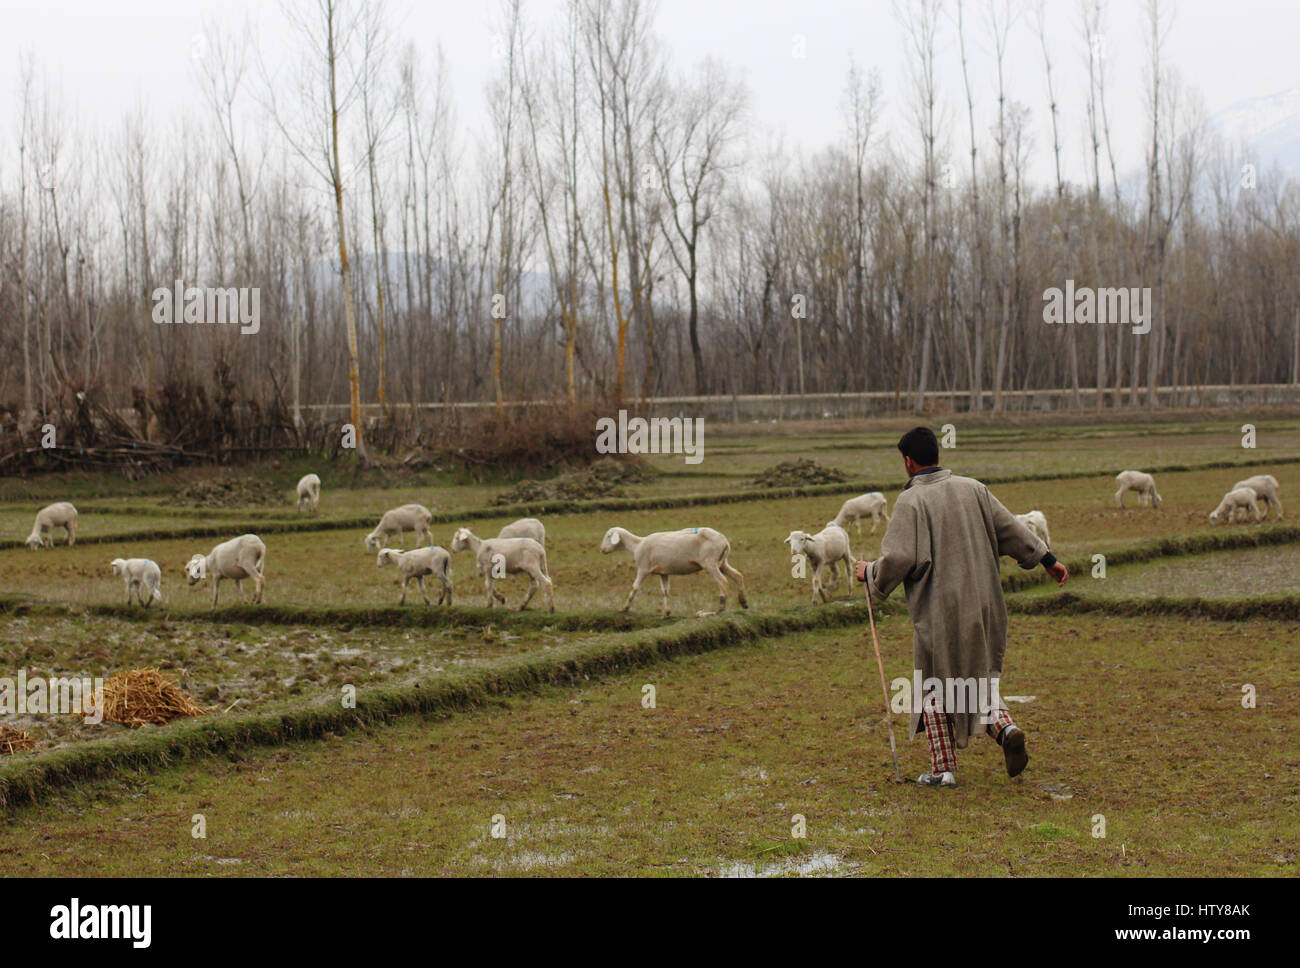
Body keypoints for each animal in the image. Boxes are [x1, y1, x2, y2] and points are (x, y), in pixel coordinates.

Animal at [600, 524, 754, 615]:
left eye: (608, 536)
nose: (602, 550)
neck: (636, 545)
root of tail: (724, 541)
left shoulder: (643, 568)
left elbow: (634, 587)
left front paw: (624, 608)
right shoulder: (663, 572)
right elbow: (665, 591)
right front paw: (667, 613)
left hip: (710, 562)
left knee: (723, 581)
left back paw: (720, 608)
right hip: (722, 562)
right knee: (738, 576)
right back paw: (744, 603)